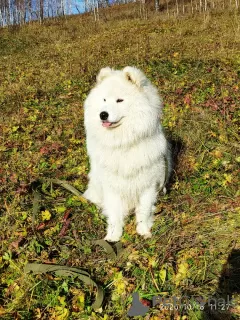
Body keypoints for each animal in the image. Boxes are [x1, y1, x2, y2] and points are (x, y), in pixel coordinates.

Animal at [83, 66, 172, 241]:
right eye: (104, 100)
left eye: (119, 100)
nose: (103, 114)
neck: (123, 143)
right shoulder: (111, 186)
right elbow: (114, 214)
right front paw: (113, 236)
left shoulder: (148, 185)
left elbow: (144, 211)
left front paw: (143, 230)